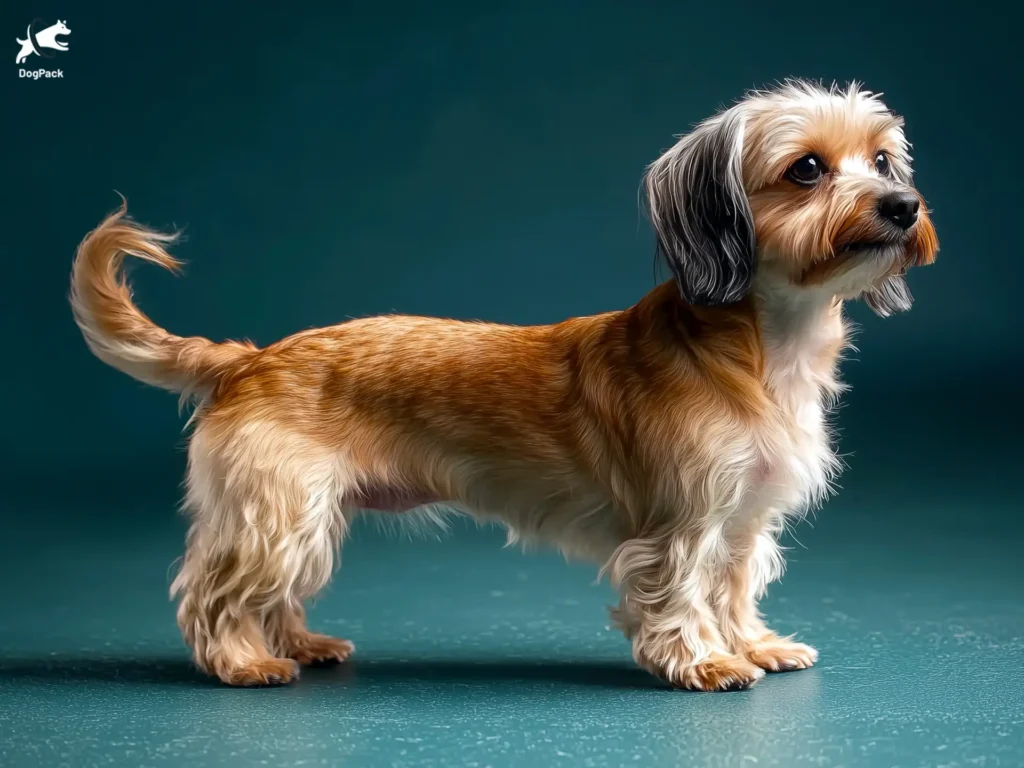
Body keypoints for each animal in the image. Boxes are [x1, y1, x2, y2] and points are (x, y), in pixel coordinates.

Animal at [70, 79, 937, 692]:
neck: (763, 345)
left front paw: (753, 644)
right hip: (274, 514)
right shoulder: (682, 524)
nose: (904, 205)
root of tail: (247, 358)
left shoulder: (744, 519)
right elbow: (685, 595)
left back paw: (299, 644)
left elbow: (734, 589)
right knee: (211, 593)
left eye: (883, 160)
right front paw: (706, 662)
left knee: (272, 594)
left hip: (304, 516)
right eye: (807, 169)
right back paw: (242, 663)